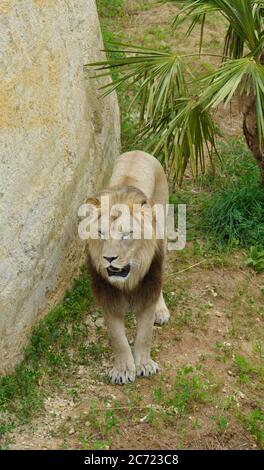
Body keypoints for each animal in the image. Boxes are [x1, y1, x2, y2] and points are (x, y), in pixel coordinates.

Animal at [85, 151, 170, 386]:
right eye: (101, 233)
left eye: (126, 234)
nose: (108, 258)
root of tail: (138, 152)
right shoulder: (107, 296)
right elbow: (118, 338)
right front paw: (122, 370)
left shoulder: (148, 288)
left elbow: (145, 335)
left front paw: (144, 365)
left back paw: (161, 310)